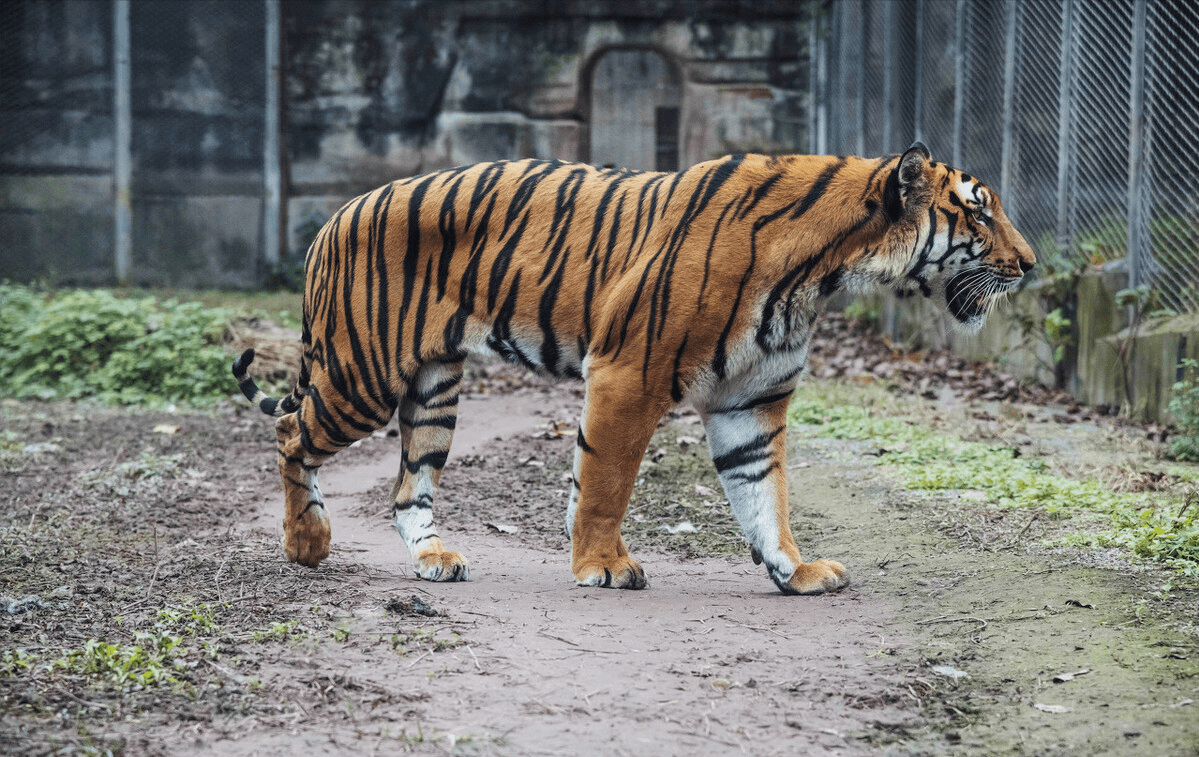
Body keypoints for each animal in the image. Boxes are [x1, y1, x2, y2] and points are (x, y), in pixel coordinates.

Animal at [229, 143, 1035, 597]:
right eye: (978, 212)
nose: (1029, 265)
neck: (827, 272)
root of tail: (332, 217)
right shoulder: (629, 374)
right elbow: (605, 483)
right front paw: (600, 565)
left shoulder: (752, 401)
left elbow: (764, 497)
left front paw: (795, 571)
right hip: (360, 375)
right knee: (289, 434)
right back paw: (306, 543)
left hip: (433, 389)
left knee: (407, 486)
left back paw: (434, 560)